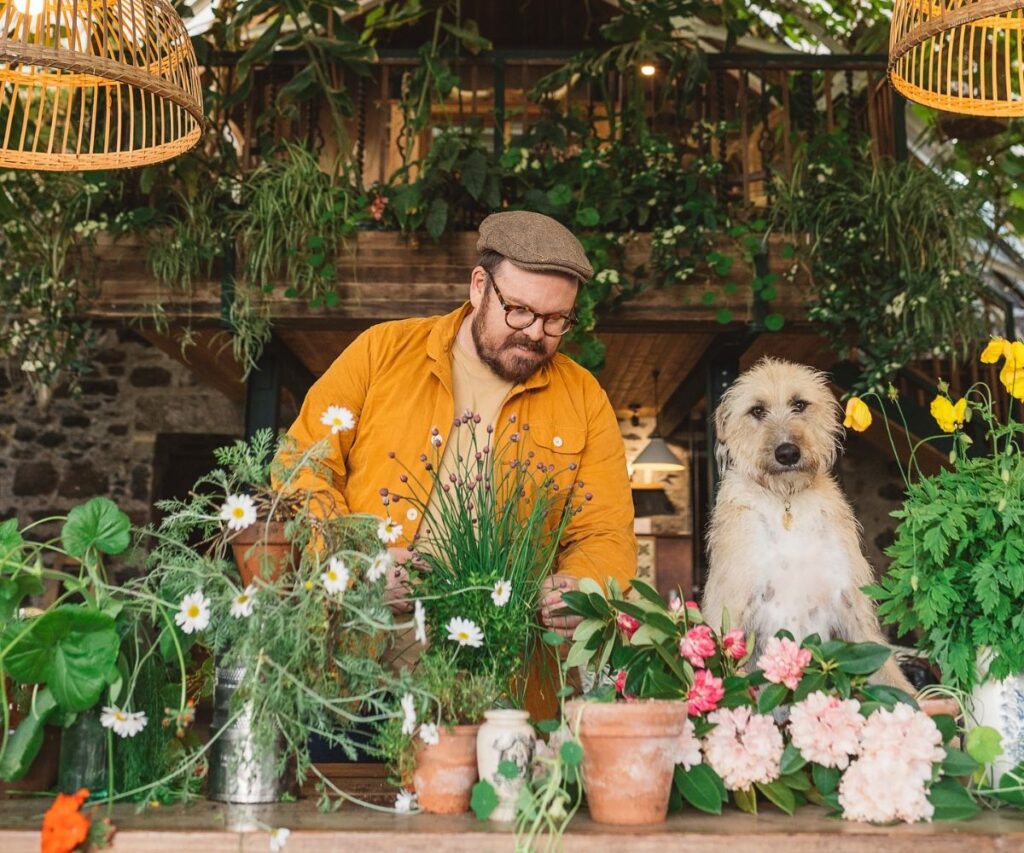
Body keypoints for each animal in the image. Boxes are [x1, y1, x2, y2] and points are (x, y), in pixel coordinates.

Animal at [704, 356, 913, 688]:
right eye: (757, 410)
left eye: (799, 404)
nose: (788, 453)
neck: (786, 505)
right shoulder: (731, 607)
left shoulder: (852, 607)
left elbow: (891, 675)